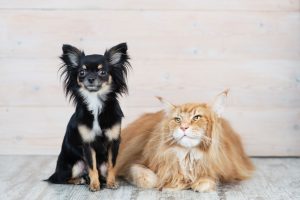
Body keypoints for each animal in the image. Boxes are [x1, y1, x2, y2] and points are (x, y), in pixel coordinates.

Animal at [45, 42, 130, 191]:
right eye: (82, 72)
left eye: (102, 72)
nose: (90, 78)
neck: (95, 102)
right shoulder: (87, 144)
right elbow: (92, 167)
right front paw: (94, 185)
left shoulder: (113, 142)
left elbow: (111, 165)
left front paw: (111, 183)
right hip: (76, 164)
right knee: (61, 179)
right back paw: (81, 180)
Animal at [115, 90, 253, 191]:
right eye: (177, 119)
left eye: (196, 117)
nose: (183, 127)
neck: (188, 155)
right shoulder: (131, 161)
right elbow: (147, 178)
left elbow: (210, 179)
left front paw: (200, 181)